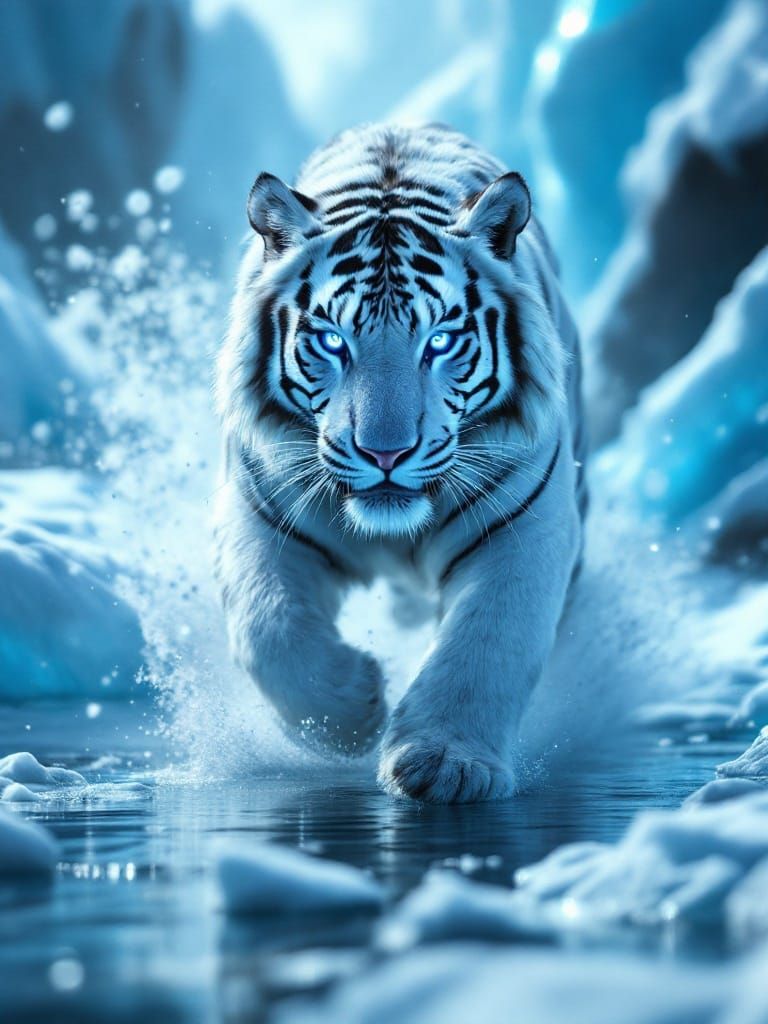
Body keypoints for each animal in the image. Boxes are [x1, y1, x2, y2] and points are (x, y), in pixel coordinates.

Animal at [214, 122, 587, 804]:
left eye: (439, 341)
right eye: (331, 340)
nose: (385, 452)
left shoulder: (524, 522)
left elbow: (490, 641)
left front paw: (446, 766)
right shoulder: (257, 512)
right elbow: (269, 627)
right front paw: (352, 712)